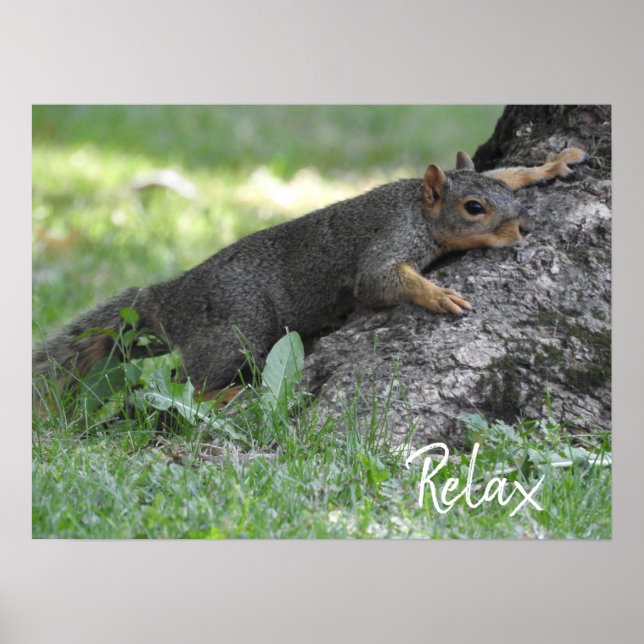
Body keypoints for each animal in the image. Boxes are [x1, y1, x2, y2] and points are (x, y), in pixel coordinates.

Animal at [32, 147, 588, 399]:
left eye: (508, 198)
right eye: (474, 208)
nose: (524, 227)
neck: (418, 207)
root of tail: (167, 298)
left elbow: (508, 169)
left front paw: (549, 164)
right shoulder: (390, 238)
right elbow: (377, 280)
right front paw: (436, 293)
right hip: (237, 328)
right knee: (185, 385)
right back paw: (229, 393)